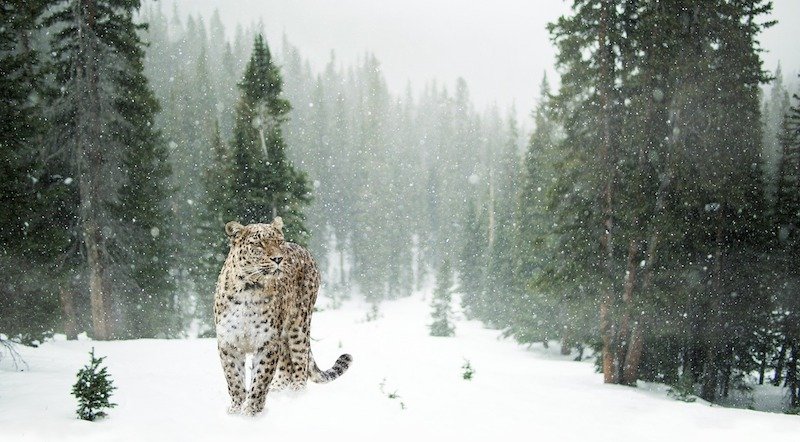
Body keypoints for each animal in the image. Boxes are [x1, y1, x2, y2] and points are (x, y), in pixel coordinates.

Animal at [214, 217, 352, 416]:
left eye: (278, 242)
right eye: (259, 244)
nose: (278, 258)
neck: (249, 289)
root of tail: (304, 249)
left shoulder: (268, 342)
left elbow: (260, 379)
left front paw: (251, 412)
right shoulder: (229, 342)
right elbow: (234, 379)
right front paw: (236, 410)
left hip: (299, 325)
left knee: (300, 361)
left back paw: (296, 394)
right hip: (285, 334)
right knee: (287, 363)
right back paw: (278, 390)